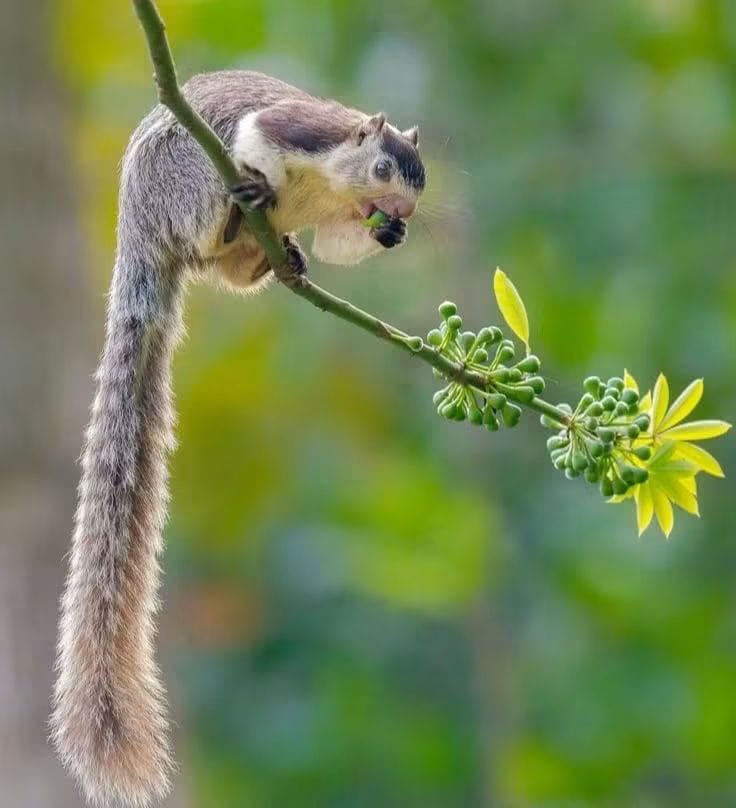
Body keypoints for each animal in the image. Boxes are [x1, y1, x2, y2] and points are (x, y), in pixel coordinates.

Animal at [50, 70, 425, 807]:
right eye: (381, 167)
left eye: (418, 185)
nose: (400, 209)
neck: (331, 191)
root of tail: (138, 230)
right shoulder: (296, 131)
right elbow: (261, 134)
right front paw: (263, 181)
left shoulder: (341, 219)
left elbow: (343, 241)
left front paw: (385, 234)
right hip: (186, 178)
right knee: (211, 220)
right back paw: (243, 204)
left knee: (234, 267)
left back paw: (284, 259)